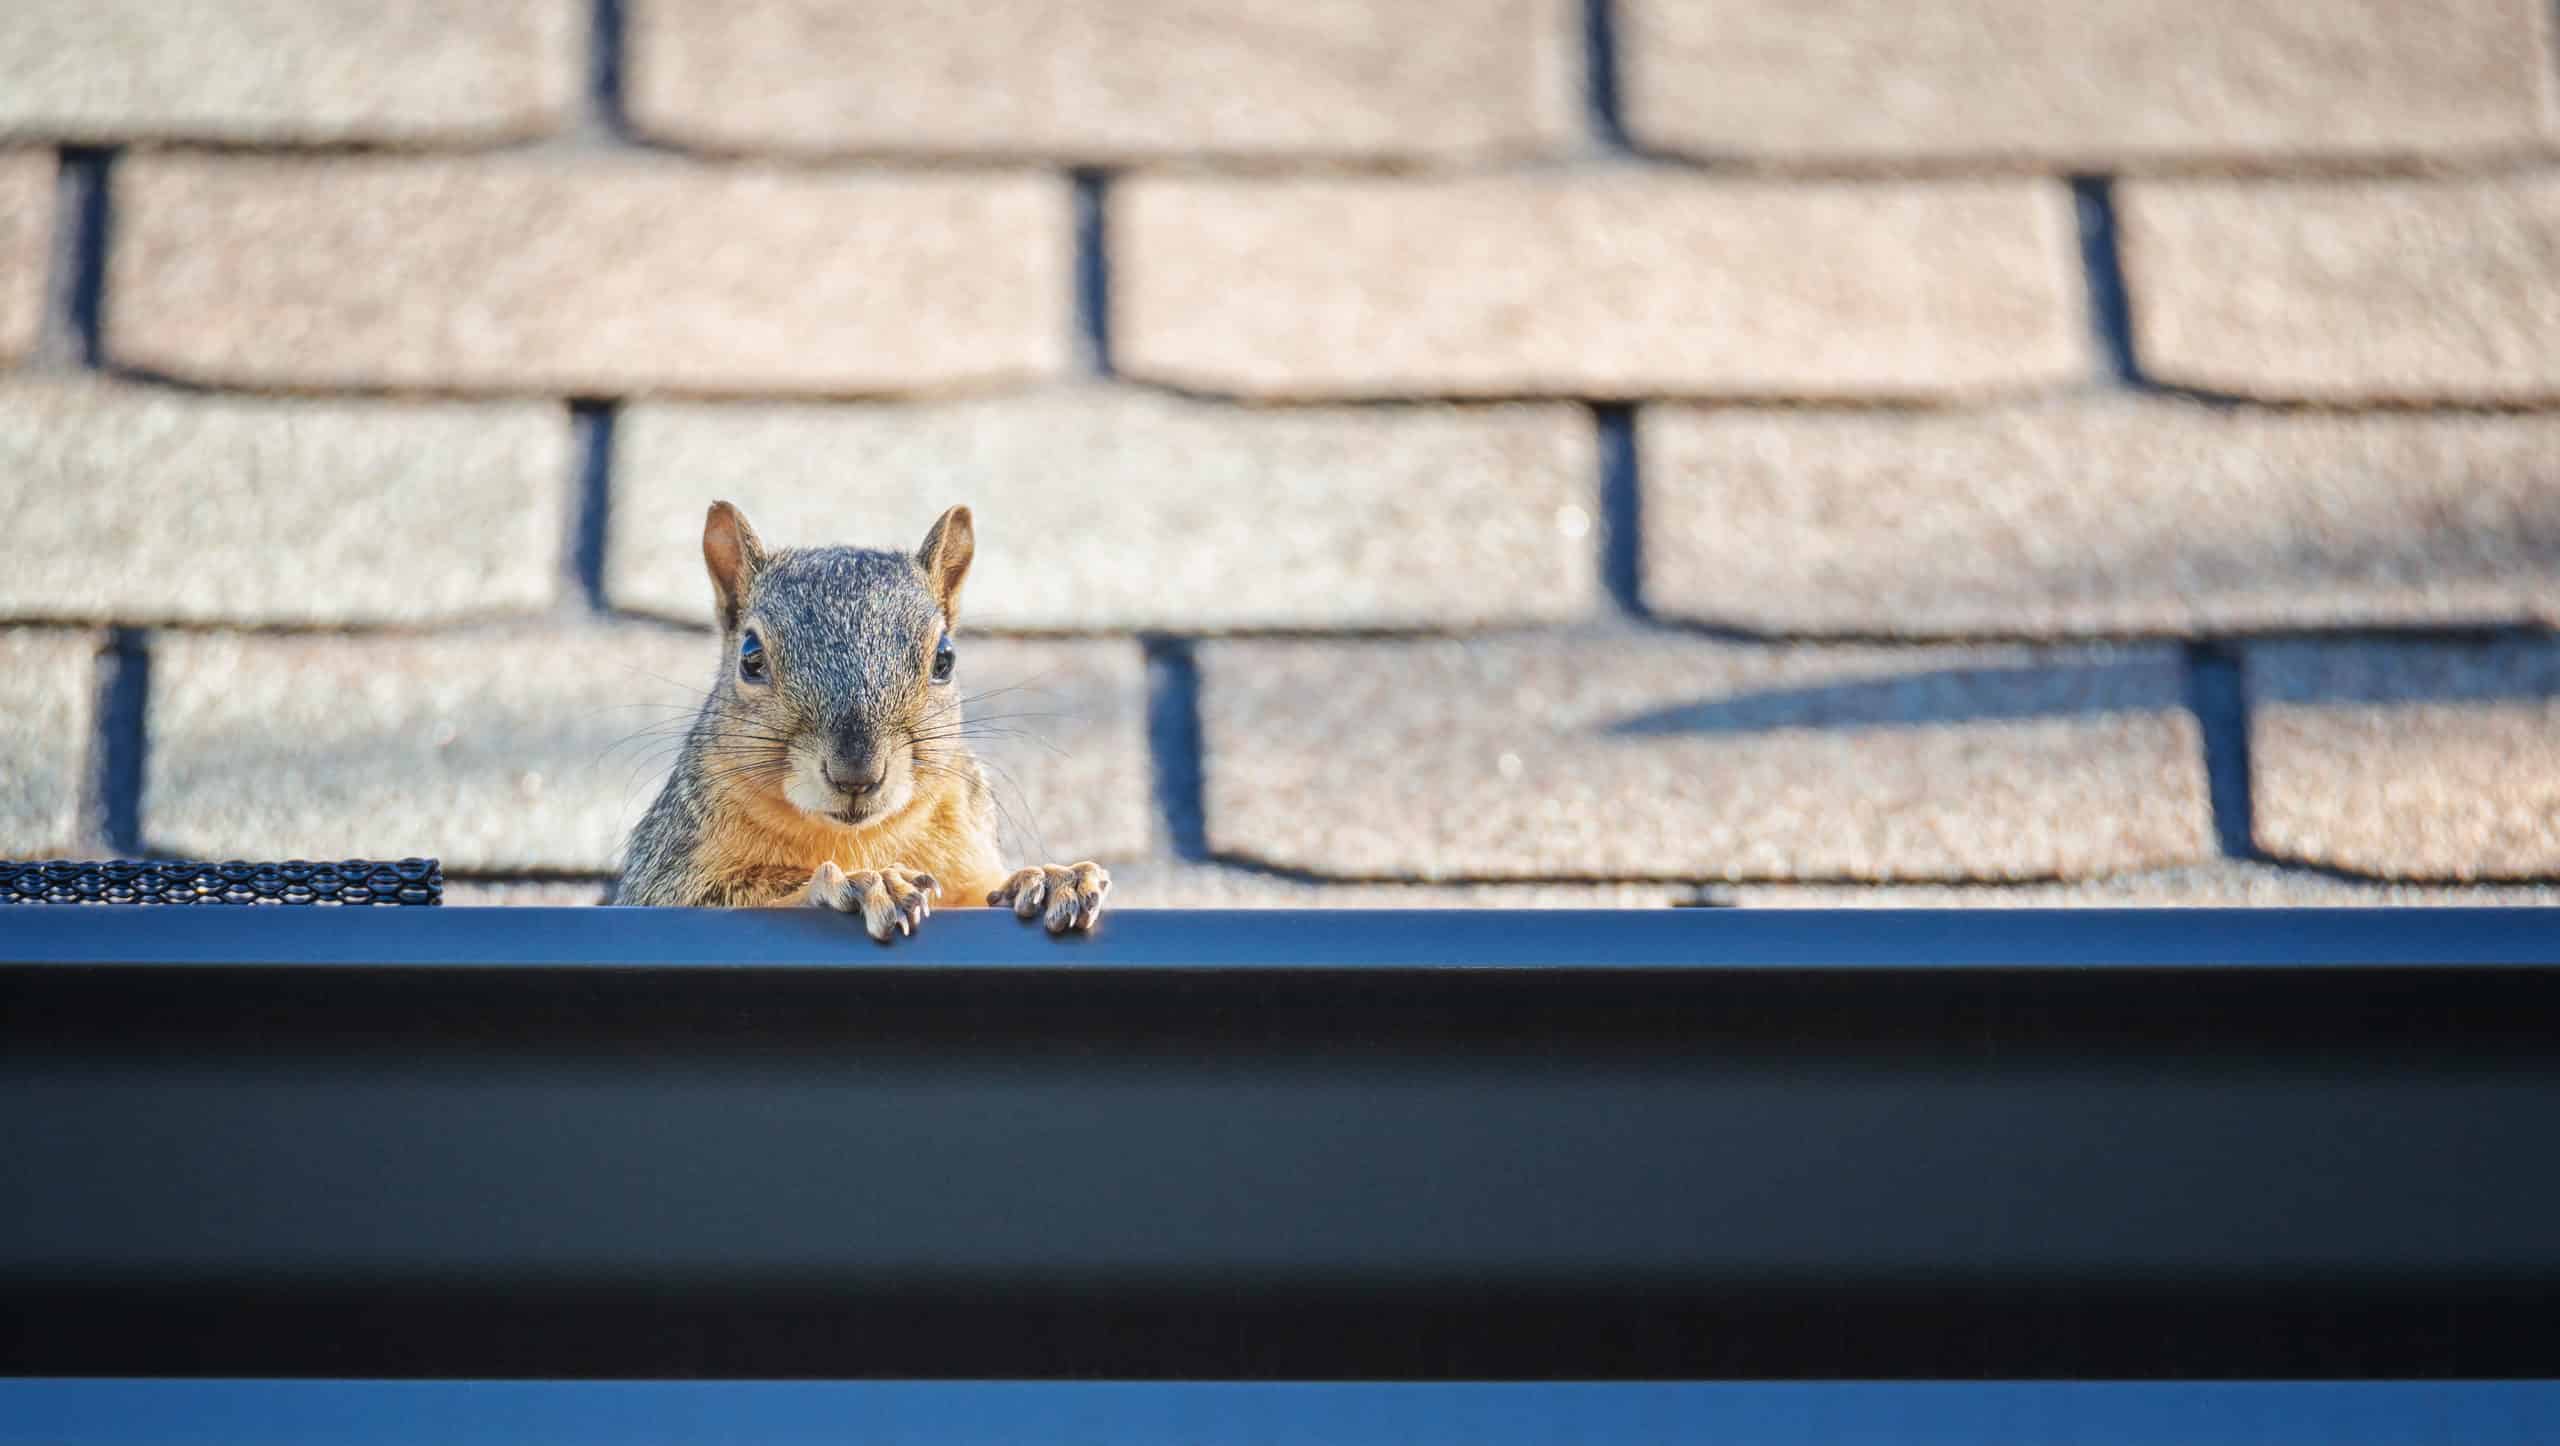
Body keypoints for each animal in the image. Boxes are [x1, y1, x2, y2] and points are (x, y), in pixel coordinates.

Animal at [612, 500, 1109, 941]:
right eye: (750, 658)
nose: (856, 774)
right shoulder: (665, 877)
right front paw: (860, 883)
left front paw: (1047, 879)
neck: (857, 837)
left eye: (945, 658)